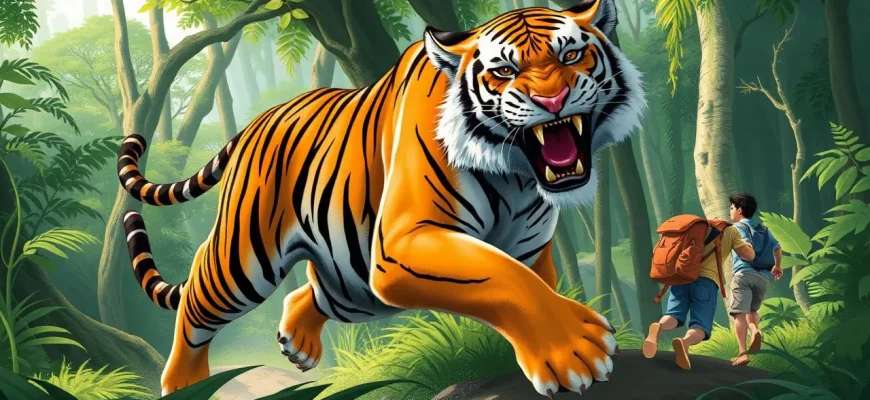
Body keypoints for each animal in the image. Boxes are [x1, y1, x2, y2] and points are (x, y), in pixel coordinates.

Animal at [117, 0, 644, 396]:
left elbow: (531, 284)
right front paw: (576, 349)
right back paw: (184, 386)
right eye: (504, 70)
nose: (552, 101)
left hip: (356, 288)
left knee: (310, 291)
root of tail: (255, 123)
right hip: (243, 259)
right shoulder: (404, 242)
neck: (515, 175)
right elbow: (506, 279)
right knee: (194, 299)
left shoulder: (530, 246)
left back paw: (297, 340)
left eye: (571, 57)